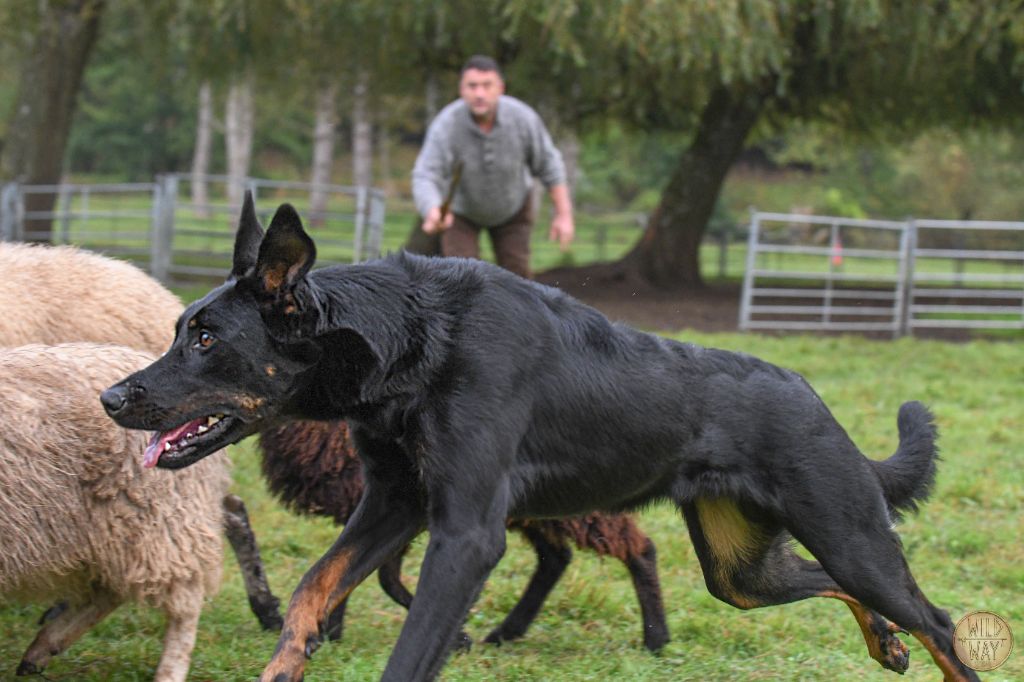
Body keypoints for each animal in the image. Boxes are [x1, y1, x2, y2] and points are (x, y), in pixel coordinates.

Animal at [0, 342, 228, 675]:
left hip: (160, 520)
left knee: (184, 601)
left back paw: (169, 671)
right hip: (103, 530)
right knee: (108, 590)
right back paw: (43, 647)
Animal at [260, 419, 667, 647]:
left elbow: (382, 579)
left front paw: (457, 637)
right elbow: (349, 574)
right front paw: (330, 632)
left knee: (636, 546)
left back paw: (656, 638)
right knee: (556, 558)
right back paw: (507, 632)